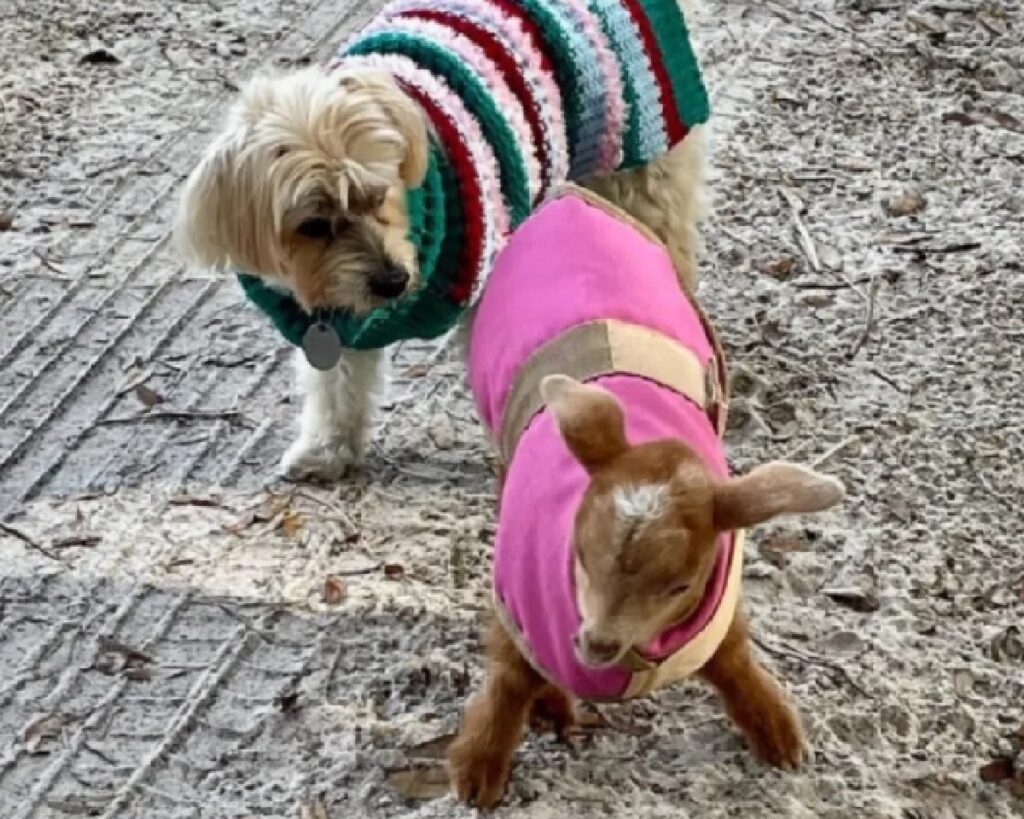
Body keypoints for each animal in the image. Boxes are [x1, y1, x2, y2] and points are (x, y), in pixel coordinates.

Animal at [180, 0, 708, 479]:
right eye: (313, 225)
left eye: (380, 192)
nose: (393, 281)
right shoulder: (338, 324)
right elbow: (337, 388)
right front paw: (328, 449)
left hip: (641, 181)